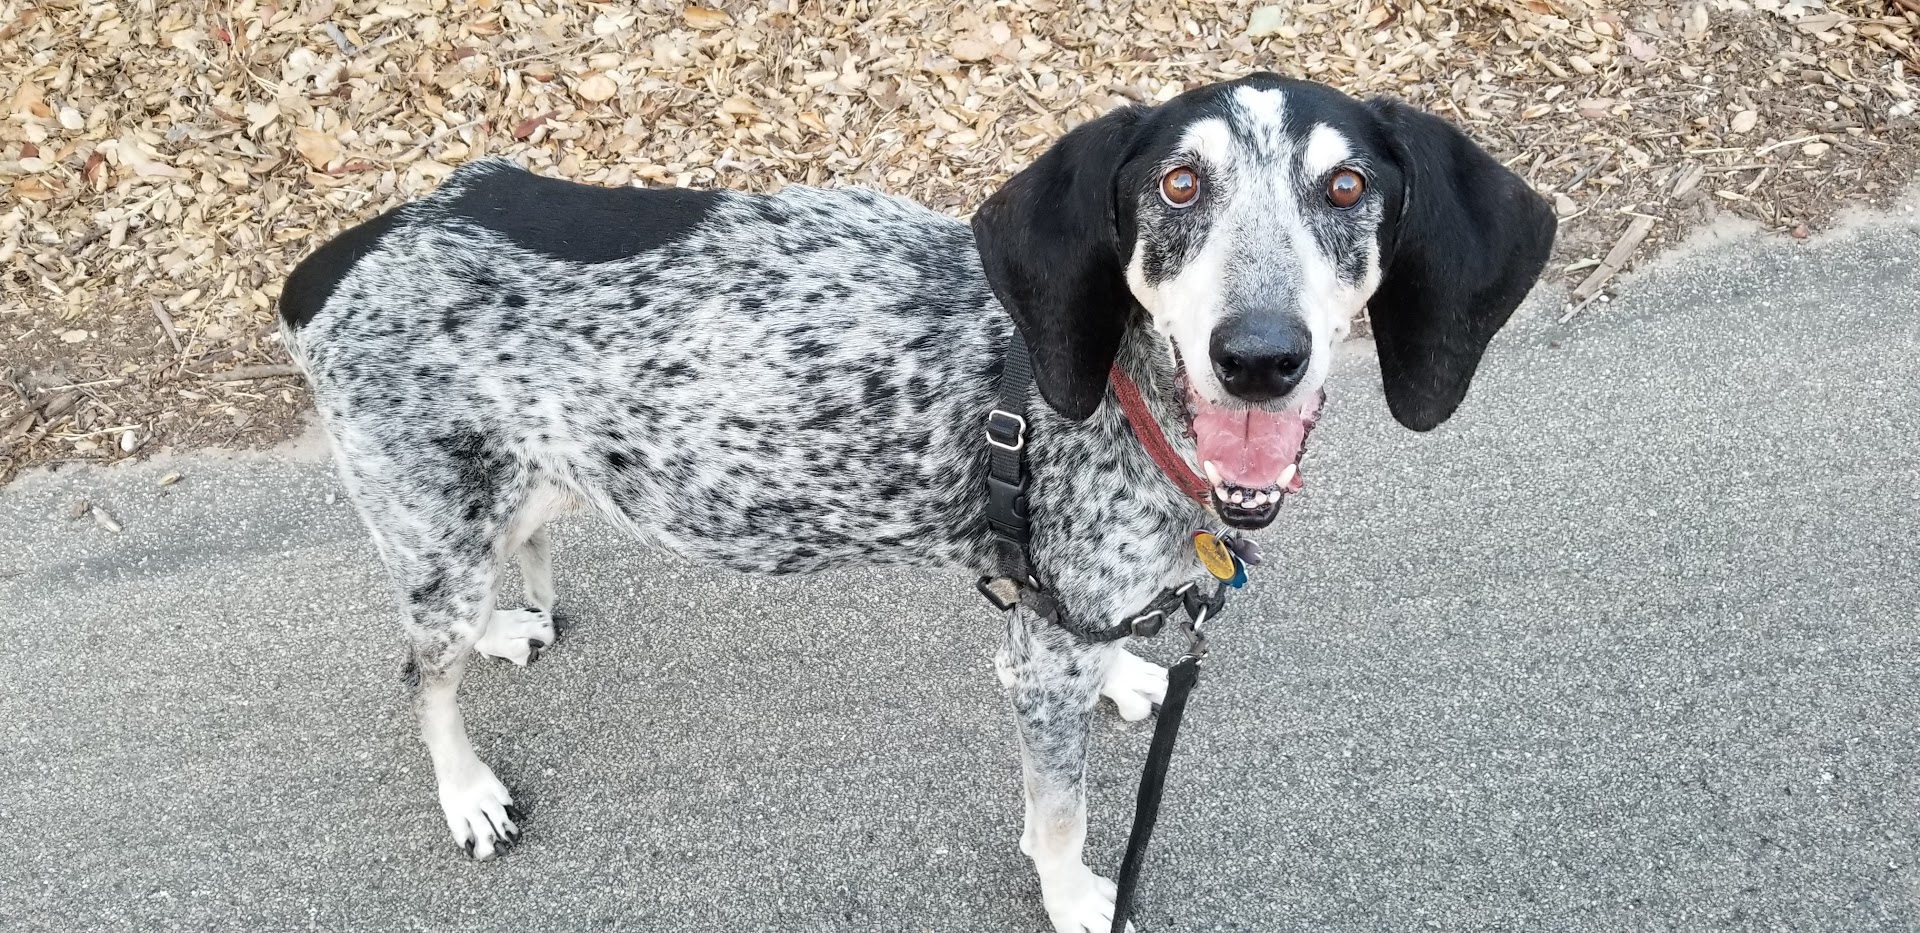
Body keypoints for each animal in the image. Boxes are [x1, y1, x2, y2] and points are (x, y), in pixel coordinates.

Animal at [278, 74, 1551, 933]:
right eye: (1179, 184)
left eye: (1348, 186)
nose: (1261, 357)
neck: (1124, 404)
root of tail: (341, 255)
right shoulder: (1038, 663)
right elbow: (1061, 817)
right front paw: (1078, 894)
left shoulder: (1061, 608)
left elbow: (1107, 647)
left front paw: (1132, 673)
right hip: (435, 527)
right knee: (422, 676)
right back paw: (468, 790)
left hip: (502, 488)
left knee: (511, 555)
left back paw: (513, 622)